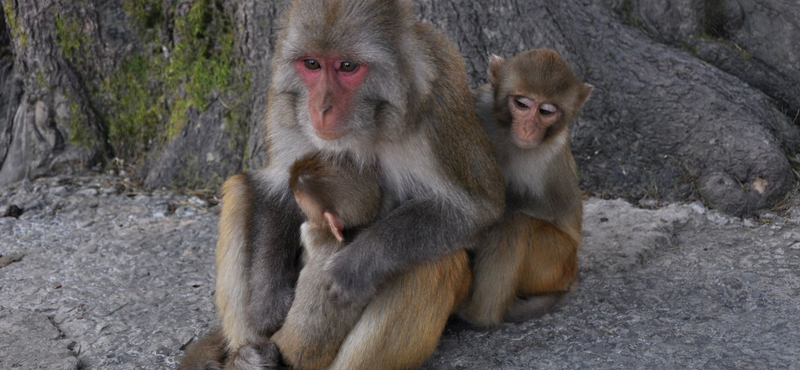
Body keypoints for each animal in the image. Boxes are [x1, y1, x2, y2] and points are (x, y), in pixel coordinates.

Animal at [462, 48, 592, 326]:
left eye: (546, 111)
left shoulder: (552, 156)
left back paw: (479, 316)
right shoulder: (480, 103)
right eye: (522, 103)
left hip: (554, 261)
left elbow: (553, 206)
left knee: (516, 224)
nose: (529, 128)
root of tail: (572, 271)